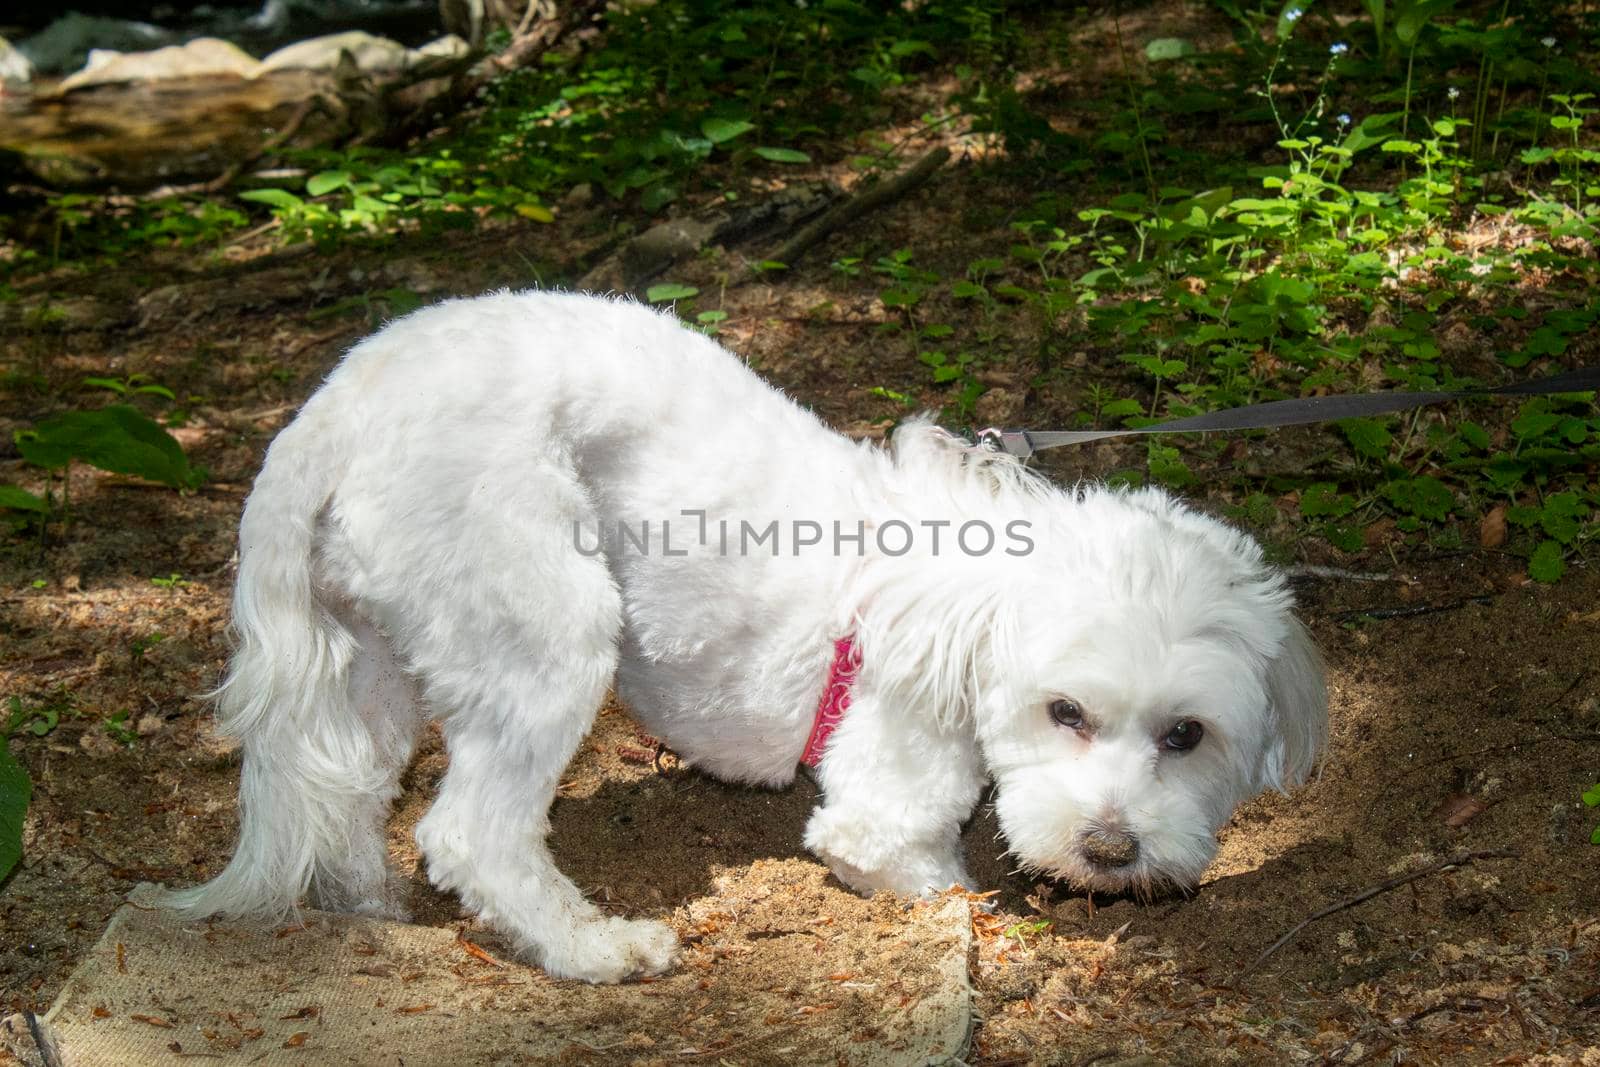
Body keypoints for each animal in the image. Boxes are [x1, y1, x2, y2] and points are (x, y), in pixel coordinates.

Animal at [168, 289, 1331, 985]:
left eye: (1187, 734)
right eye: (1066, 711)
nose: (1110, 847)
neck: (974, 603)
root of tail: (333, 412)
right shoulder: (881, 802)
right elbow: (918, 866)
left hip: (373, 654)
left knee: (351, 791)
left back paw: (366, 904)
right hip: (548, 626)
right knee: (470, 831)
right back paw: (591, 945)